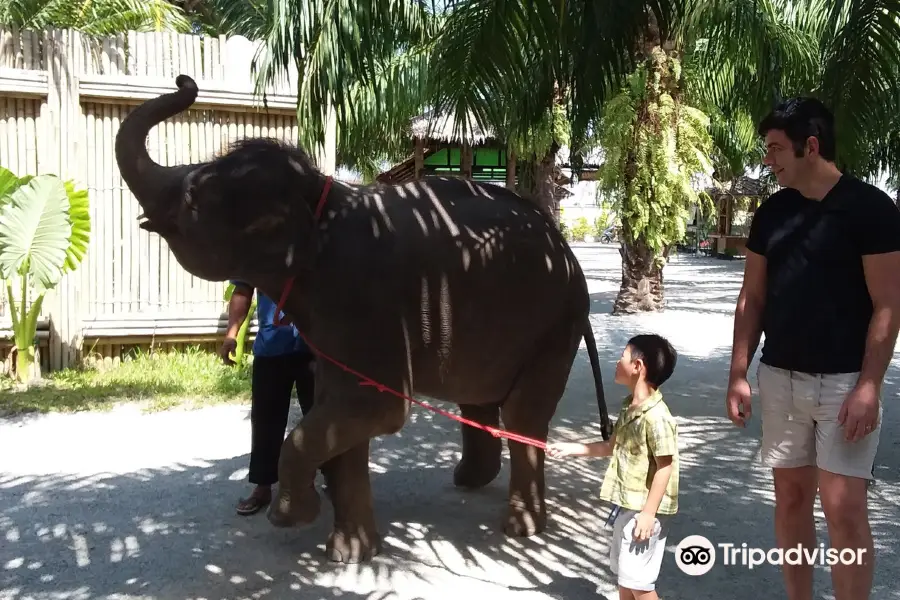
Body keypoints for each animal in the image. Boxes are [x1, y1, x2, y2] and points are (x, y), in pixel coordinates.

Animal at [114, 74, 612, 564]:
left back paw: (520, 527)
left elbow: (378, 408)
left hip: (556, 327)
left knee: (523, 415)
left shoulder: (365, 303)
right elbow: (338, 416)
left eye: (195, 196)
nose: (184, 79)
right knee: (480, 400)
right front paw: (349, 553)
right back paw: (469, 480)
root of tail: (565, 247)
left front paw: (294, 517)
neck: (320, 199)